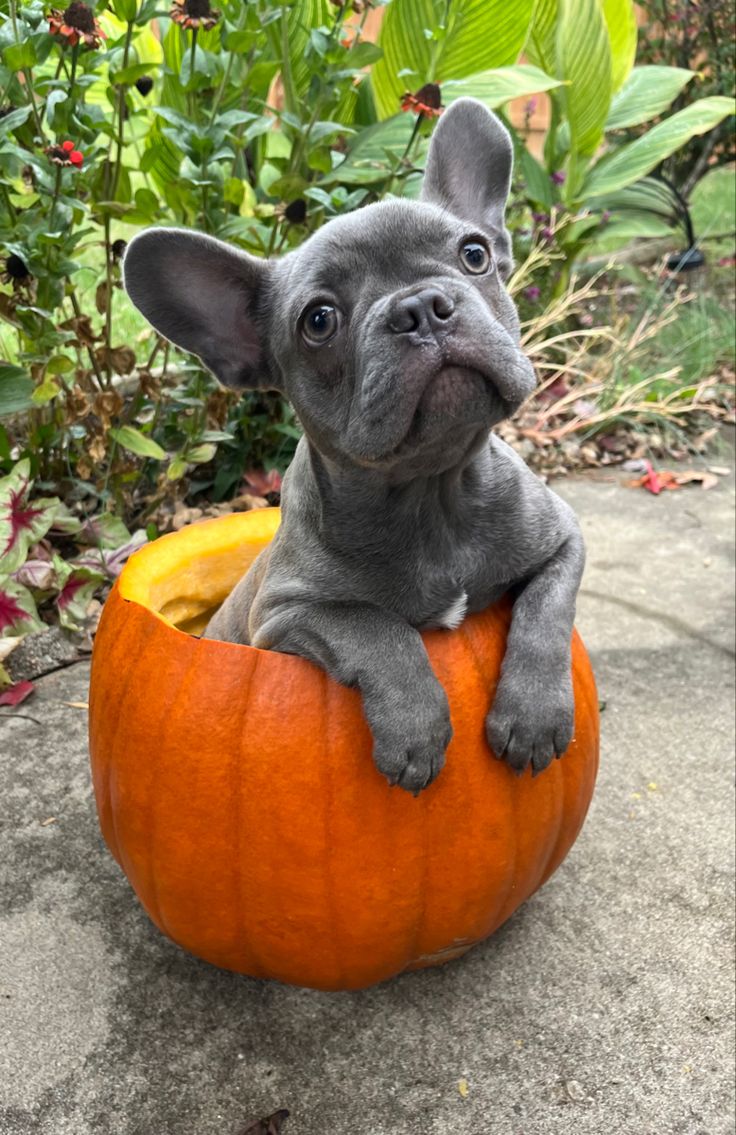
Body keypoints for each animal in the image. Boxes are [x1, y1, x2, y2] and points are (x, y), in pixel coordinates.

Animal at [124, 99, 586, 799]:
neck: (432, 492)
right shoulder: (289, 614)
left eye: (474, 254)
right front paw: (416, 732)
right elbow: (376, 629)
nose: (421, 306)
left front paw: (532, 716)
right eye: (319, 321)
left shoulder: (563, 537)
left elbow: (545, 610)